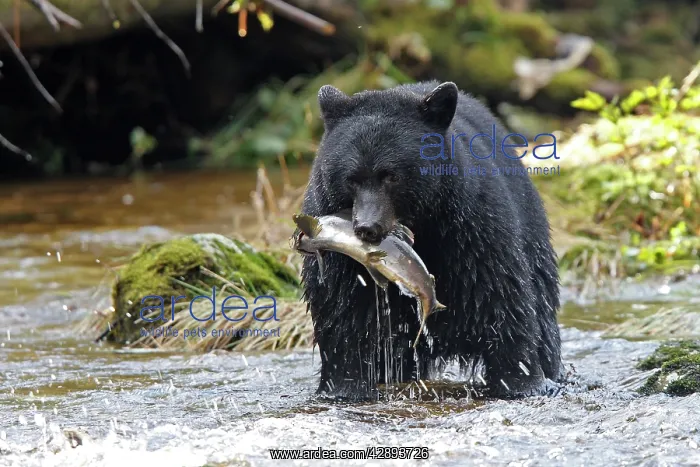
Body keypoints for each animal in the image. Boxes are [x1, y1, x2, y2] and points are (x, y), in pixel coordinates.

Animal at [299, 80, 563, 401]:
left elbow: (500, 298)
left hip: (530, 227)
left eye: (391, 176)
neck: (423, 227)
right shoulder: (338, 253)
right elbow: (341, 314)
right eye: (351, 179)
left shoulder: (471, 229)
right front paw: (344, 386)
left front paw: (520, 381)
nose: (366, 227)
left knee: (542, 312)